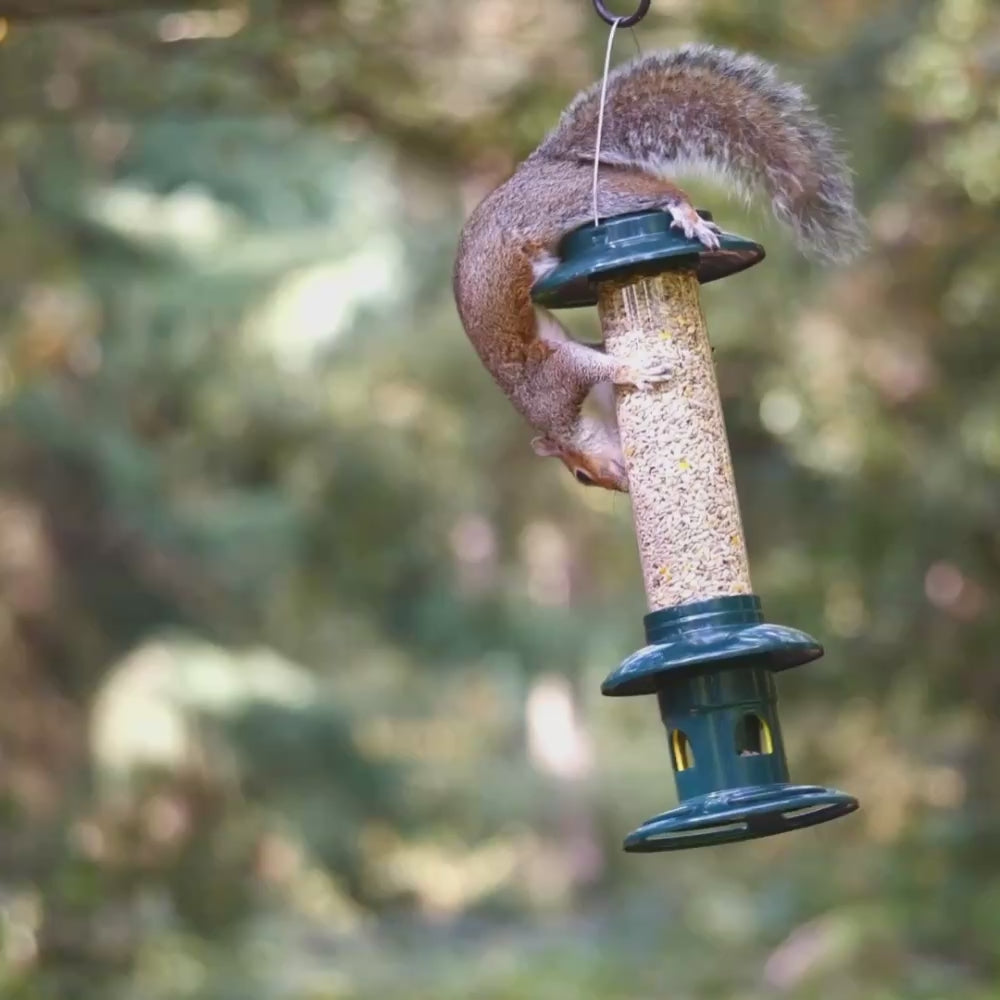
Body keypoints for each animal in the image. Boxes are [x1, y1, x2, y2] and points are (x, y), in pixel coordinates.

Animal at [453, 44, 865, 493]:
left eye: (581, 476)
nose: (623, 486)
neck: (565, 419)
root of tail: (539, 166)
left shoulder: (552, 382)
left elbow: (590, 364)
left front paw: (632, 369)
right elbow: (596, 350)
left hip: (575, 201)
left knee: (659, 191)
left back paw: (687, 213)